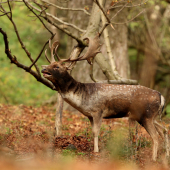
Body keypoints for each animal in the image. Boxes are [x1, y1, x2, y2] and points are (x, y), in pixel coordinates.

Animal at [41, 35, 169, 161]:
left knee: (156, 136)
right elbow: (93, 131)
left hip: (146, 116)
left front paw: (96, 151)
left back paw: (153, 159)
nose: (43, 69)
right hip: (153, 117)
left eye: (57, 66)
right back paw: (165, 155)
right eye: (49, 64)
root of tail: (161, 96)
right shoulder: (90, 115)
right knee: (164, 130)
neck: (83, 97)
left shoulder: (98, 110)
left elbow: (96, 132)